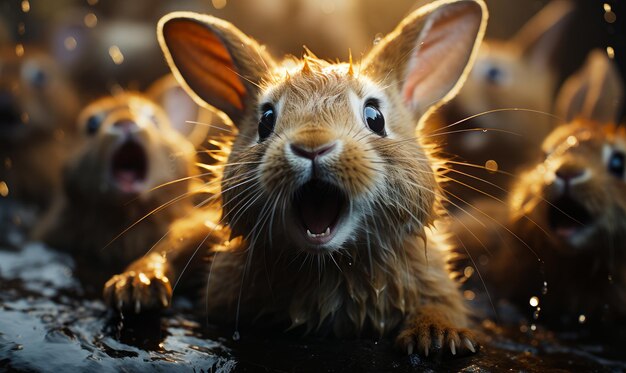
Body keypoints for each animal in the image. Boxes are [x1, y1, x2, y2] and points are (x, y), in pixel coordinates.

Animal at [103, 0, 488, 356]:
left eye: (375, 117)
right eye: (265, 121)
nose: (312, 147)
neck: (329, 265)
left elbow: (442, 304)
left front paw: (438, 336)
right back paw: (135, 286)